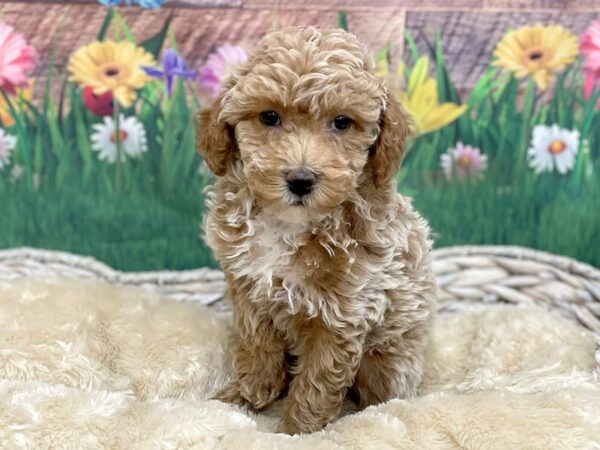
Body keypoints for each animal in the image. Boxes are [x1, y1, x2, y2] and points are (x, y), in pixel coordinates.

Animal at [197, 26, 436, 434]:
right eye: (269, 117)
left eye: (342, 122)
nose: (301, 179)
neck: (290, 225)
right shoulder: (248, 288)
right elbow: (257, 346)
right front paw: (248, 395)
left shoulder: (344, 313)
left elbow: (317, 382)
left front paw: (295, 431)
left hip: (389, 359)